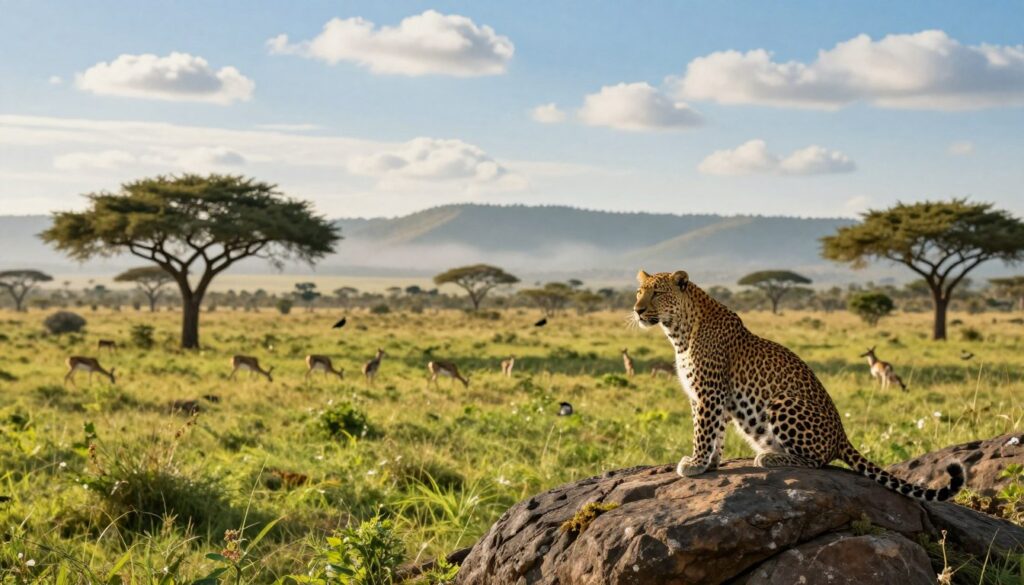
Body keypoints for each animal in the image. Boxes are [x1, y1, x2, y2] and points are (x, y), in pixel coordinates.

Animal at [633, 269, 964, 502]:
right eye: (639, 292)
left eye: (657, 293)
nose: (637, 310)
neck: (679, 332)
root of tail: (842, 436)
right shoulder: (707, 397)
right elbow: (716, 432)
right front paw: (711, 463)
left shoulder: (709, 393)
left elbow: (703, 431)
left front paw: (695, 463)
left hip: (783, 401)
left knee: (817, 461)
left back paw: (769, 457)